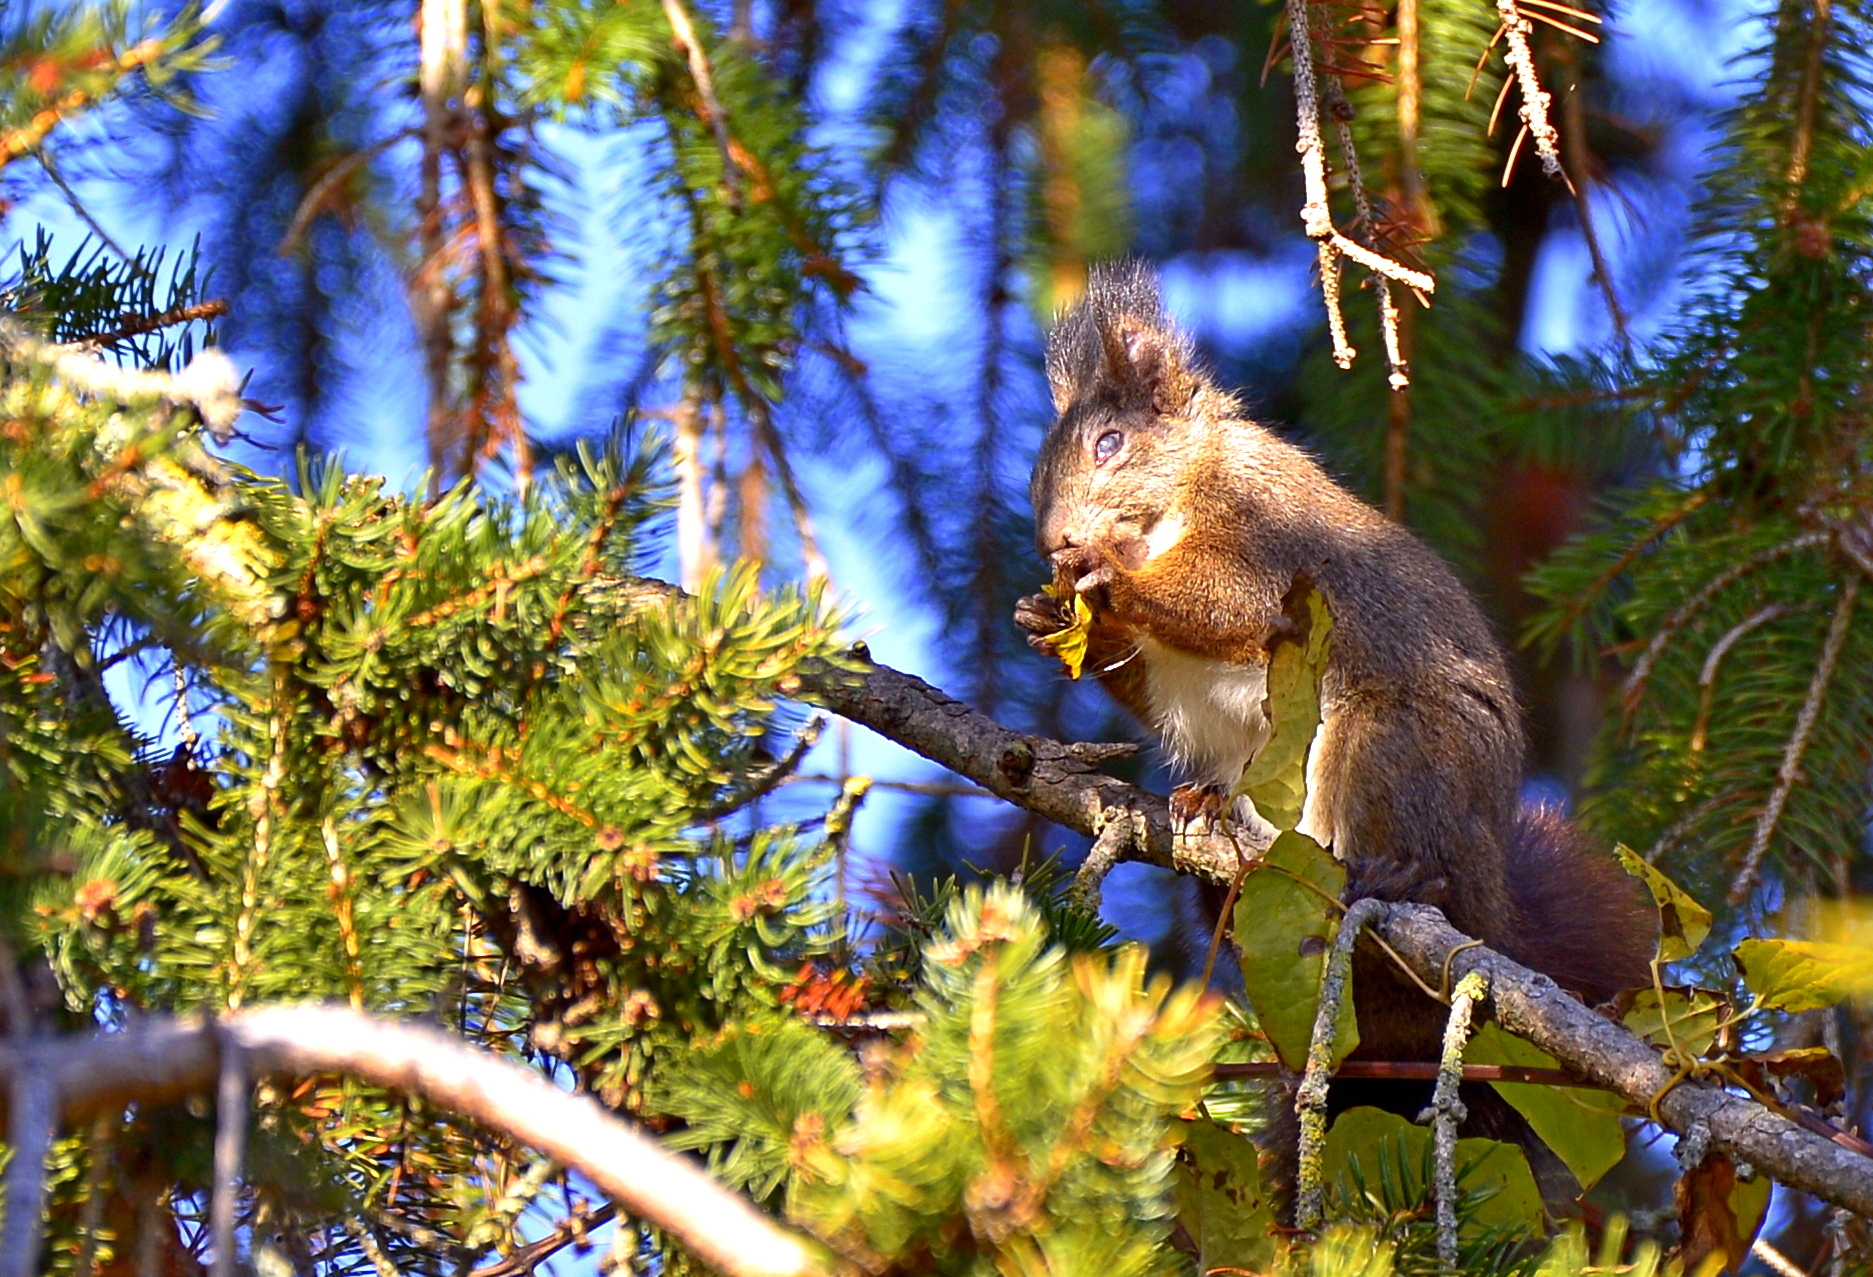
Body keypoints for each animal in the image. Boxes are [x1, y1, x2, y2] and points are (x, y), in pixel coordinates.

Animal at [1014, 261, 1655, 1197]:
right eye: (1034, 472)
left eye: (1109, 444)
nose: (1057, 543)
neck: (1174, 506)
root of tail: (1498, 911)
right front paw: (1052, 617)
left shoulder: (1266, 532)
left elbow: (1224, 601)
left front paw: (1108, 582)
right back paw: (1208, 819)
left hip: (1388, 742)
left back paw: (1399, 881)